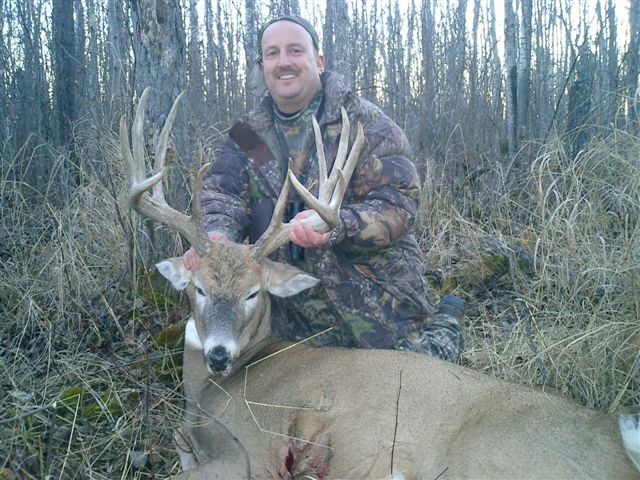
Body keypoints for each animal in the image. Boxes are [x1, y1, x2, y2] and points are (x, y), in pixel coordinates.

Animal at [120, 89, 640, 479]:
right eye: (199, 288)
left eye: (254, 292)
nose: (218, 353)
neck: (211, 394)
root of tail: (617, 433)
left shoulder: (251, 453)